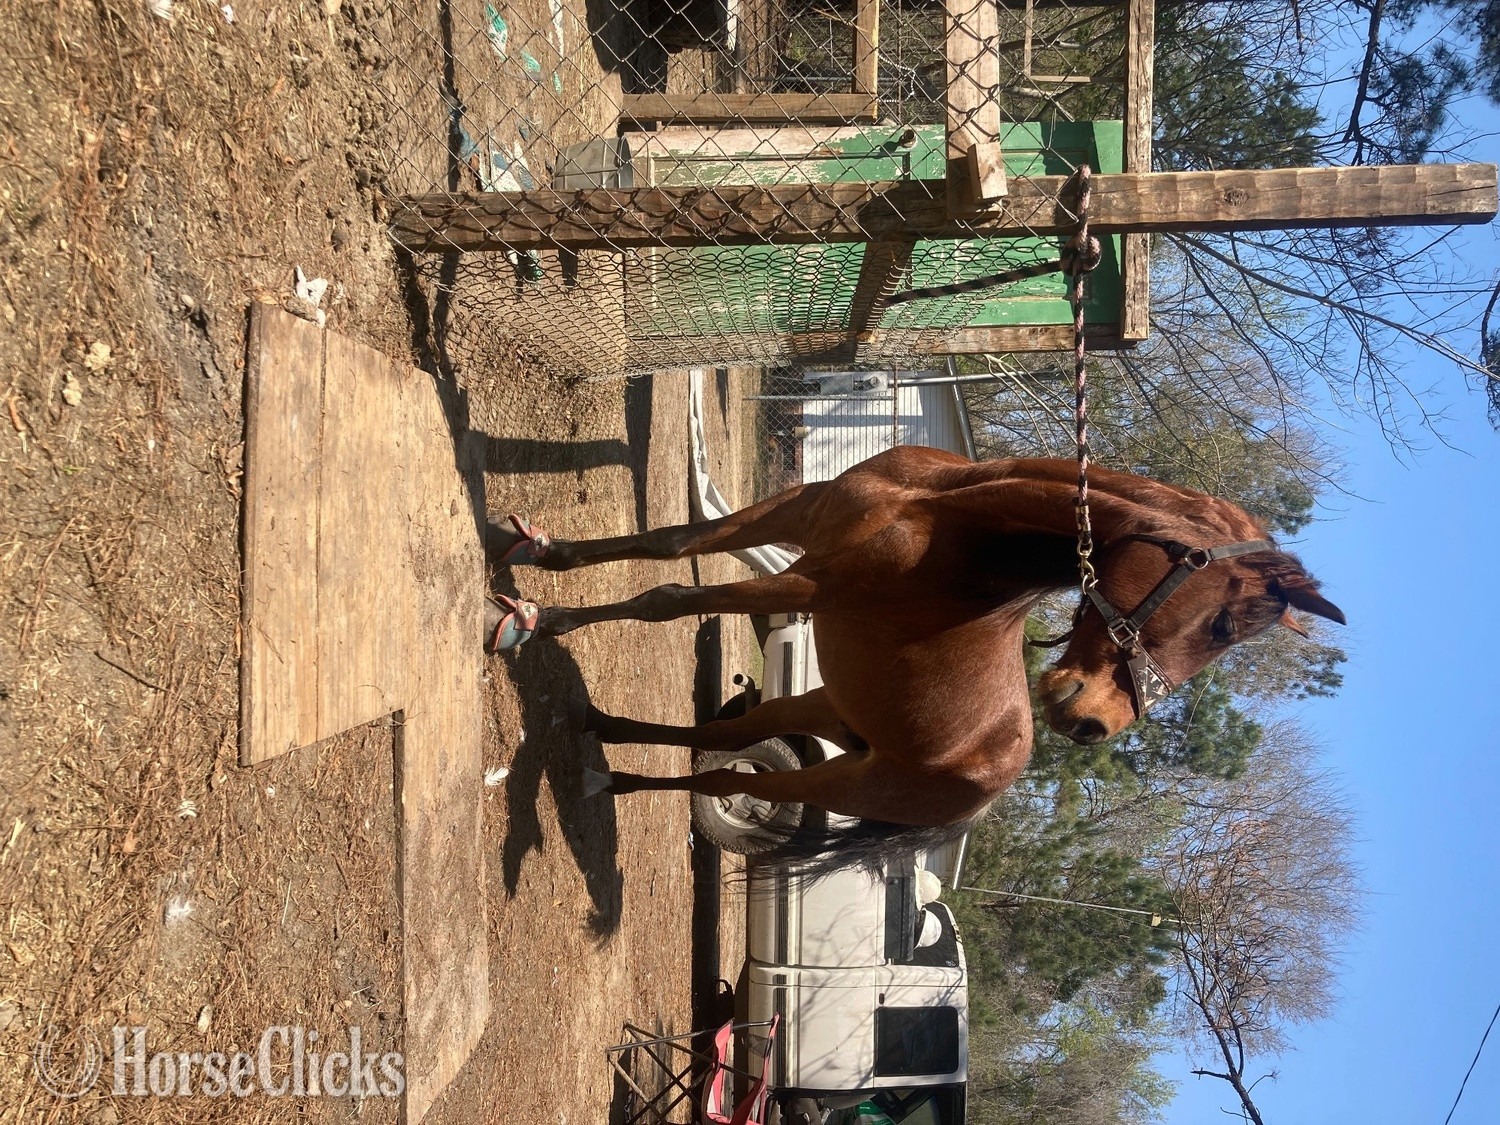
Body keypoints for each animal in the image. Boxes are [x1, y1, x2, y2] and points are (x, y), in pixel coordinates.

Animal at [484, 446, 1345, 873]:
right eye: (1225, 625)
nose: (1094, 724)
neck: (945, 511)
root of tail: (989, 789)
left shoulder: (812, 580)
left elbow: (667, 595)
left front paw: (535, 620)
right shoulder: (799, 513)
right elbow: (672, 542)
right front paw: (538, 553)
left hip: (836, 776)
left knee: (728, 777)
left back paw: (610, 777)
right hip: (822, 705)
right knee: (727, 735)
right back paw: (603, 734)